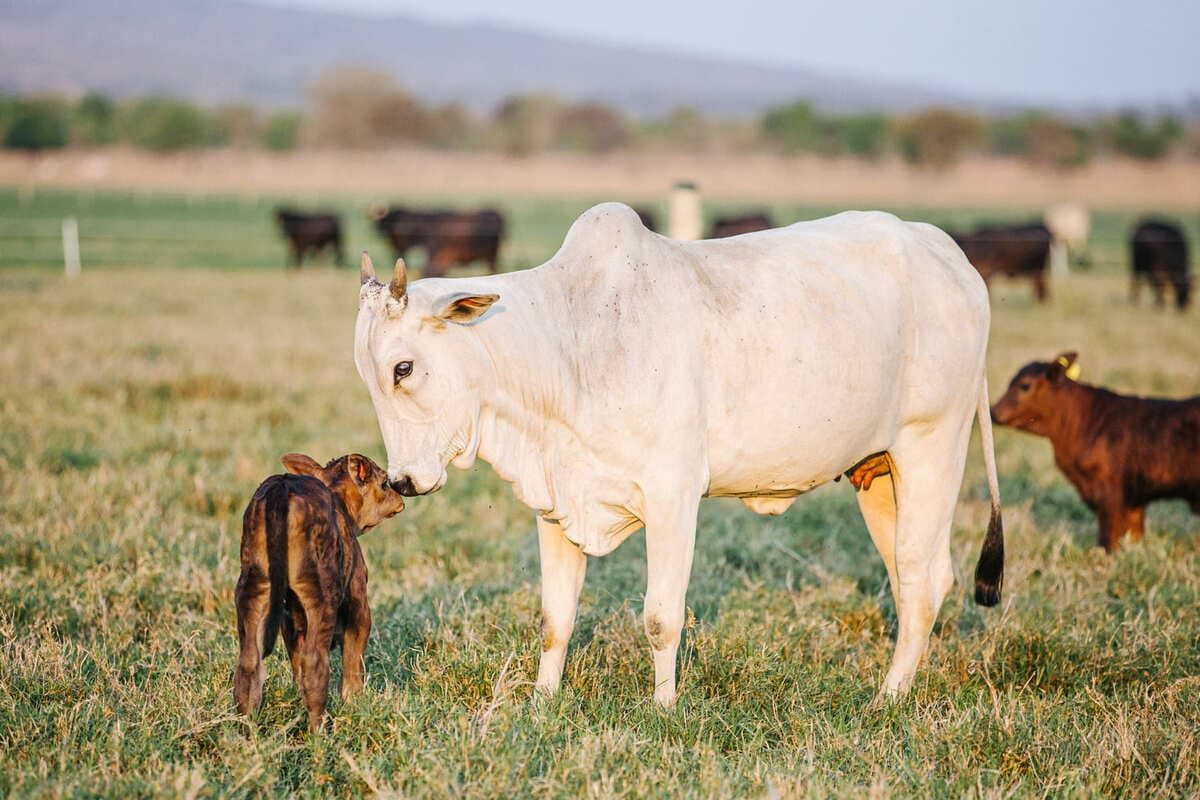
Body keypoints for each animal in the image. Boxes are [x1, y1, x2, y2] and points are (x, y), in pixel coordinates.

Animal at [231, 453, 405, 729]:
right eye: (385, 483)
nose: (400, 499)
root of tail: (282, 486)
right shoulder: (358, 599)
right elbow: (353, 659)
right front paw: (355, 704)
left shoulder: (289, 618)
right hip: (320, 591)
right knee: (314, 663)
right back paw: (320, 730)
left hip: (253, 585)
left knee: (249, 663)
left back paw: (247, 730)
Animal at [352, 205, 1003, 705]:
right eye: (369, 375)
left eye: (403, 368)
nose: (402, 480)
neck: (573, 345)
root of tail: (948, 254)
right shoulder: (556, 503)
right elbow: (554, 620)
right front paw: (541, 701)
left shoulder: (673, 498)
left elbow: (661, 618)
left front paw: (663, 708)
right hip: (879, 473)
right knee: (910, 579)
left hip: (932, 447)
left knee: (921, 578)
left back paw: (887, 697)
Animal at [988, 352, 1200, 554]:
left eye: (1025, 385)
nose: (993, 412)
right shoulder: (1133, 499)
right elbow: (1132, 535)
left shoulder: (1110, 492)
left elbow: (1109, 536)